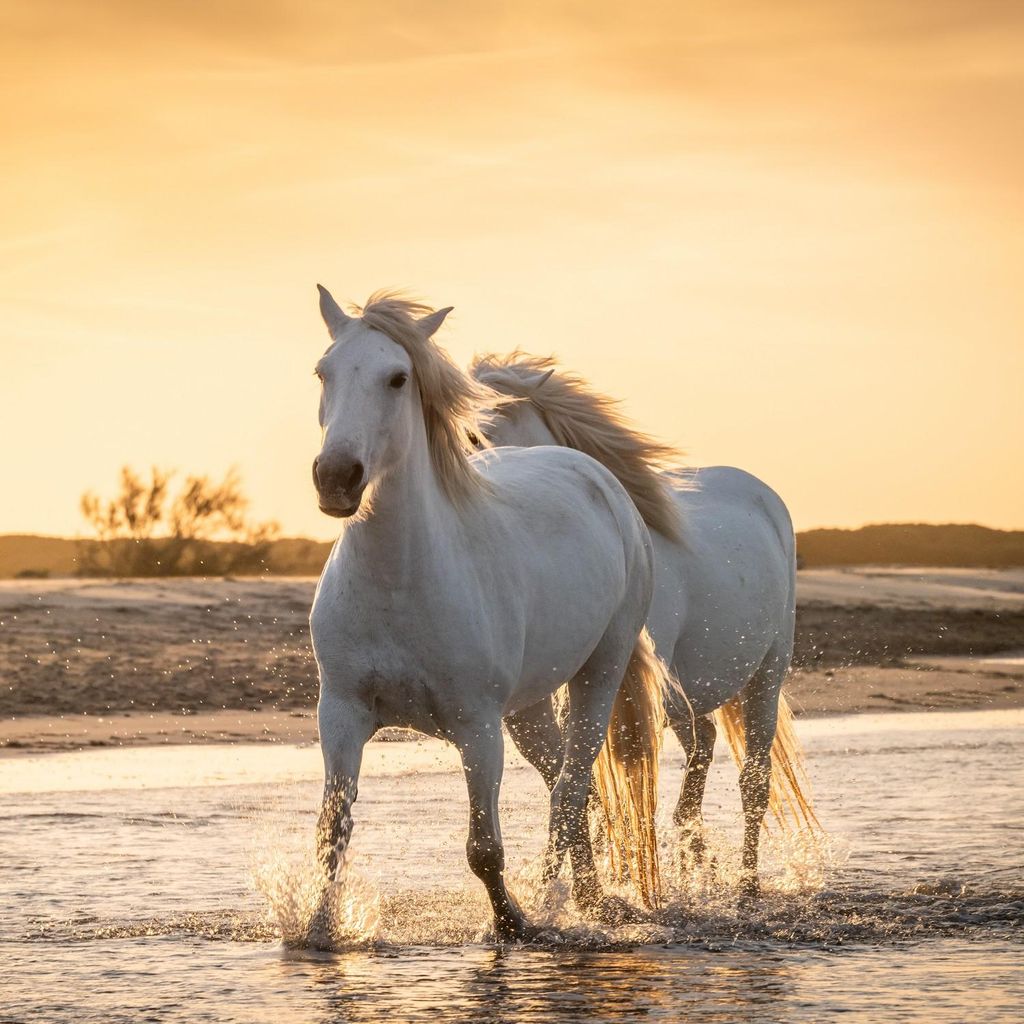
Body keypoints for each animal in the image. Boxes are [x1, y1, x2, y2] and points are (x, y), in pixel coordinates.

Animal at [308, 288, 669, 942]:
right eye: (323, 372)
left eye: (397, 378)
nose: (336, 478)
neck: (401, 582)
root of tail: (596, 476)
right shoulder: (341, 716)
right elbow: (332, 835)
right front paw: (317, 932)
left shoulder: (476, 728)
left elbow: (483, 848)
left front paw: (513, 925)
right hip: (527, 709)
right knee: (567, 787)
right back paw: (586, 897)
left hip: (599, 672)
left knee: (572, 788)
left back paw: (569, 903)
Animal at [471, 353, 818, 897]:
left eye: (483, 433)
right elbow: (574, 785)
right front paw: (566, 888)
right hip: (689, 697)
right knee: (702, 754)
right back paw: (700, 866)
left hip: (766, 672)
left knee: (753, 781)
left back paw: (745, 886)